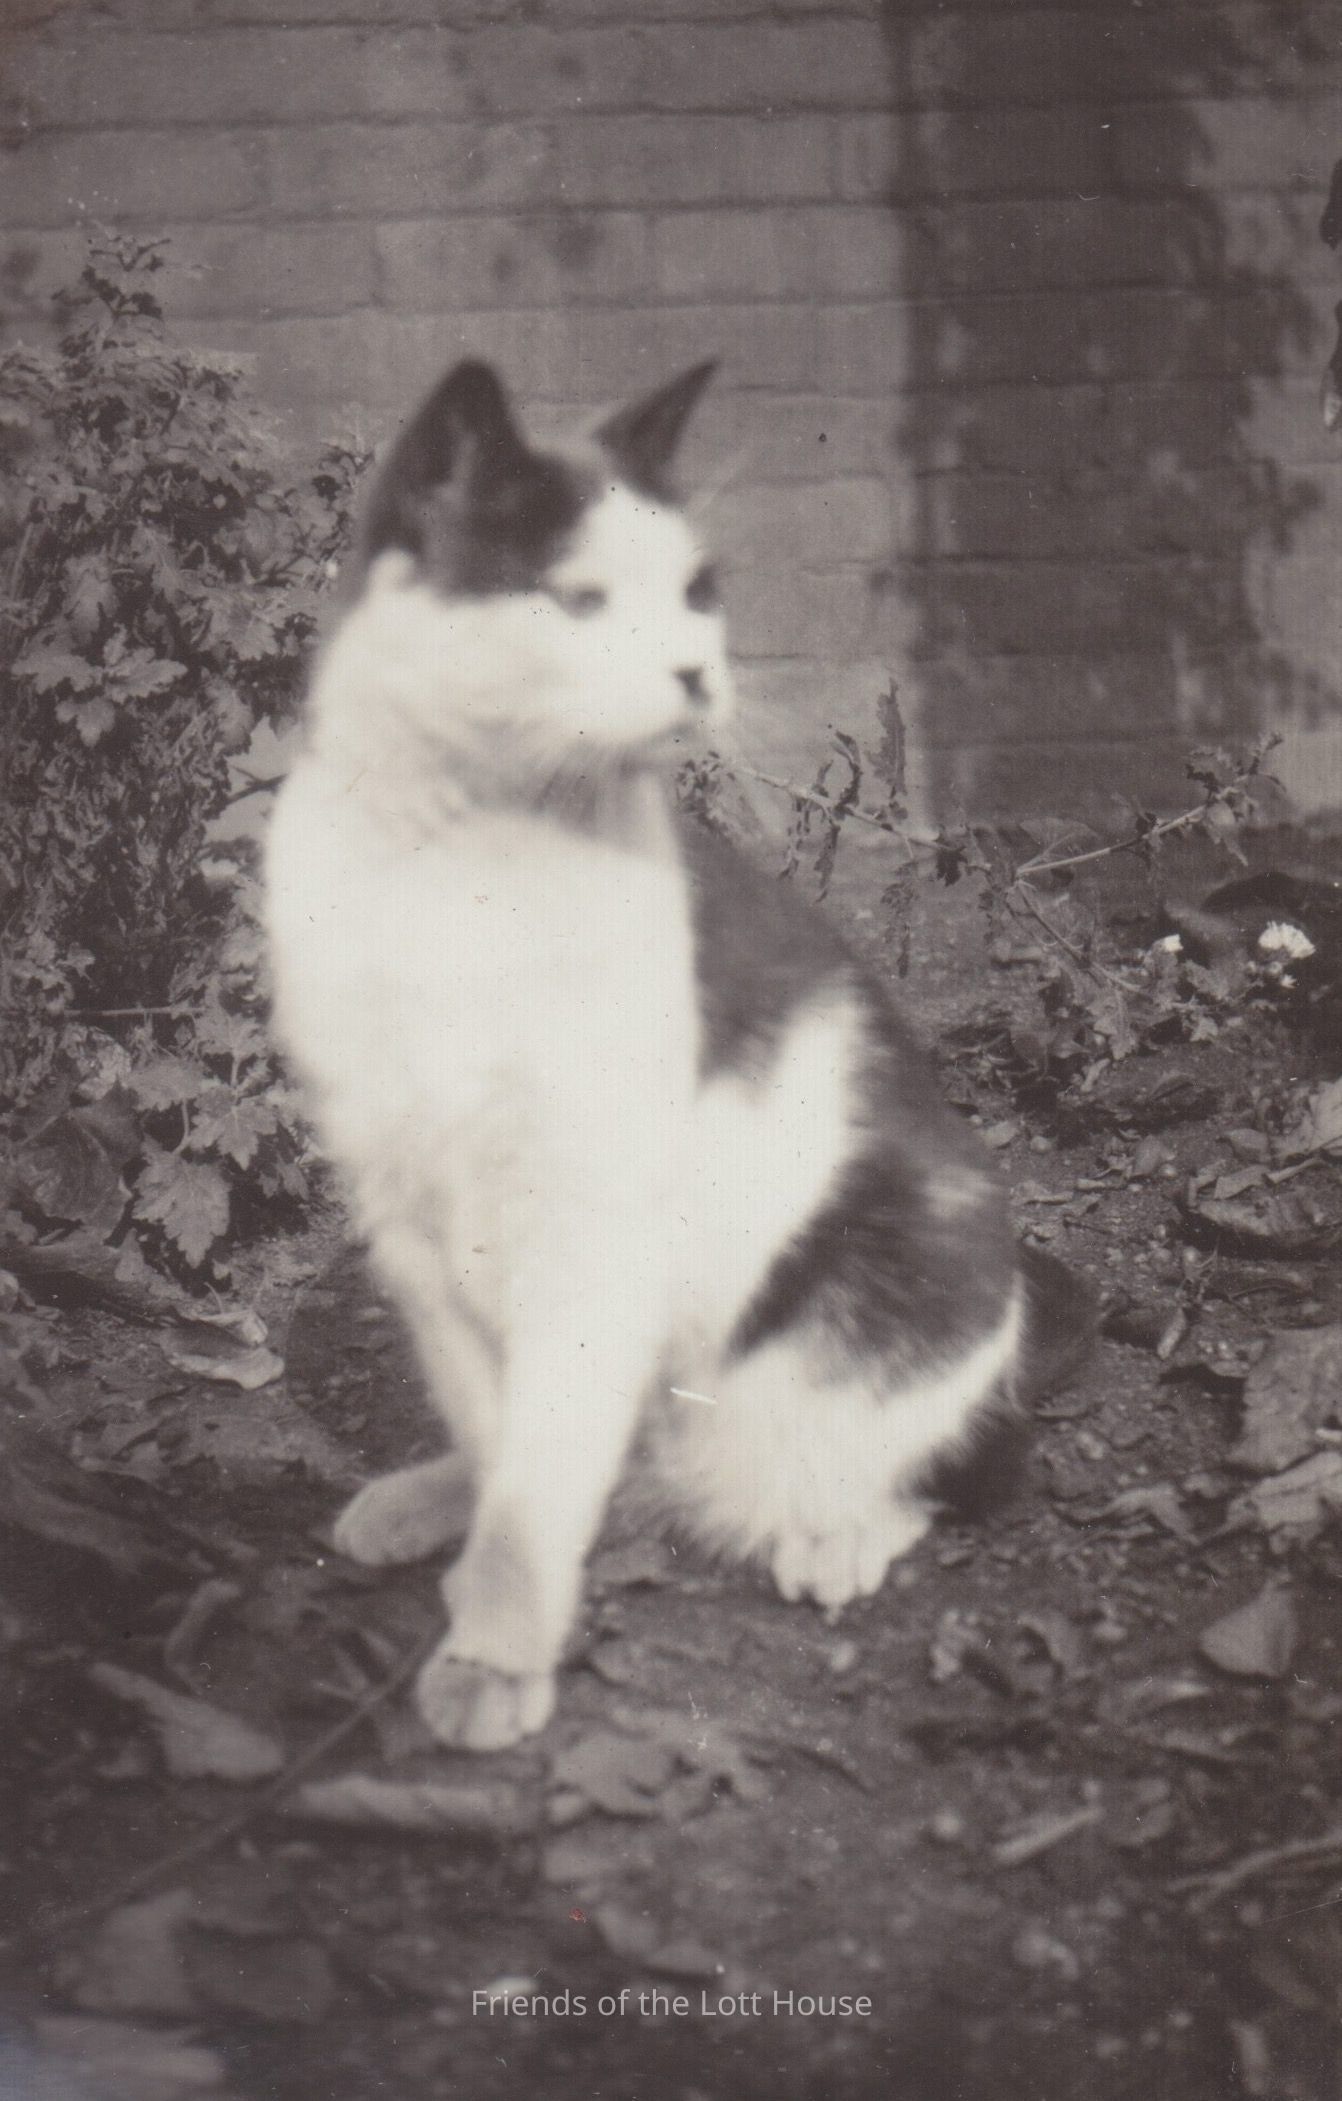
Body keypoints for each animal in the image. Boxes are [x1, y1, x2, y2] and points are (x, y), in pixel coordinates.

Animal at [264, 358, 1092, 1752]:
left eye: (698, 589)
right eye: (578, 598)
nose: (700, 668)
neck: (458, 853)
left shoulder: (591, 1216)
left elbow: (543, 1470)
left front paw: (496, 1651)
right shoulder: (409, 1210)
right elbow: (506, 1440)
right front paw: (492, 1578)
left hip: (896, 1259)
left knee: (938, 1462)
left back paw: (834, 1532)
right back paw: (431, 1499)